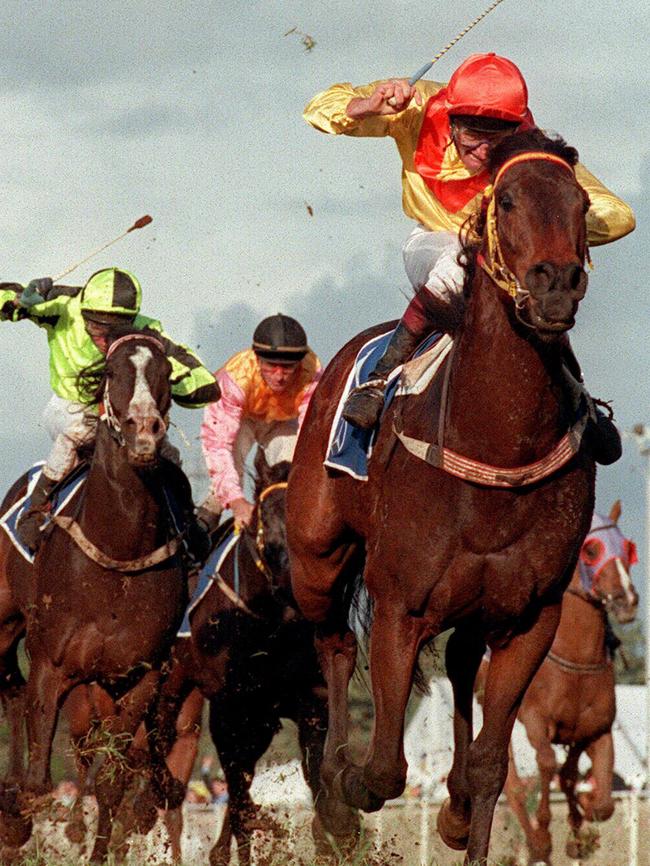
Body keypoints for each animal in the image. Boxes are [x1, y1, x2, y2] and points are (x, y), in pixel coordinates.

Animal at [288, 128, 596, 864]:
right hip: (315, 555)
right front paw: (346, 789)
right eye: (506, 200)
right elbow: (382, 769)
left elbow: (488, 764)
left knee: (458, 665)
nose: (556, 282)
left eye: (581, 202)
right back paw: (332, 802)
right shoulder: (401, 603)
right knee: (335, 645)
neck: (498, 443)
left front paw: (460, 814)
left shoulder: (532, 616)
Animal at [492, 500, 632, 864]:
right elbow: (546, 763)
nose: (627, 598)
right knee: (513, 785)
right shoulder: (534, 719)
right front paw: (543, 834)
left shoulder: (597, 729)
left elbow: (597, 798)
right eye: (591, 550)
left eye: (628, 548)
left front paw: (581, 825)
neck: (576, 663)